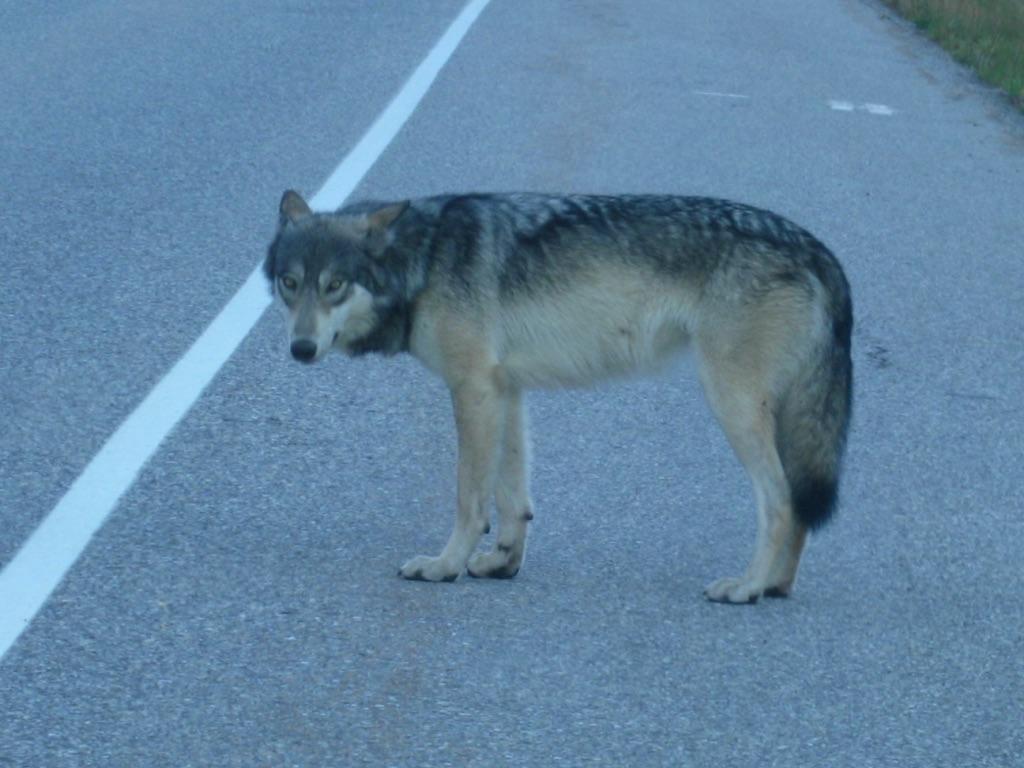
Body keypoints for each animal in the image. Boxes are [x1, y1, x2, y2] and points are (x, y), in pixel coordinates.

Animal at [264, 189, 856, 606]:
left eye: (335, 285)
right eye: (290, 283)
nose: (301, 348)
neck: (425, 259)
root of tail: (818, 249)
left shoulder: (472, 388)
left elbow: (470, 499)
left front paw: (444, 566)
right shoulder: (504, 389)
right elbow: (513, 500)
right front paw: (501, 564)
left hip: (731, 403)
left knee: (780, 500)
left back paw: (747, 587)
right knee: (799, 505)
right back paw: (775, 585)